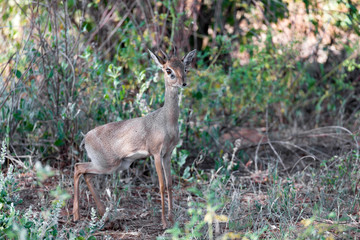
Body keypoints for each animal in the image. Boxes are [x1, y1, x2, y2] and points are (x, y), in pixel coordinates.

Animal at [73, 47, 197, 229]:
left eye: (185, 68)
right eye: (168, 70)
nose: (183, 83)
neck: (167, 120)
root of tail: (85, 138)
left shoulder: (168, 154)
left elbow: (169, 185)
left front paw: (173, 220)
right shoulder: (156, 154)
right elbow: (161, 186)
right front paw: (164, 222)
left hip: (115, 165)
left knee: (85, 174)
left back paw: (103, 216)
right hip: (107, 165)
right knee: (78, 168)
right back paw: (76, 216)